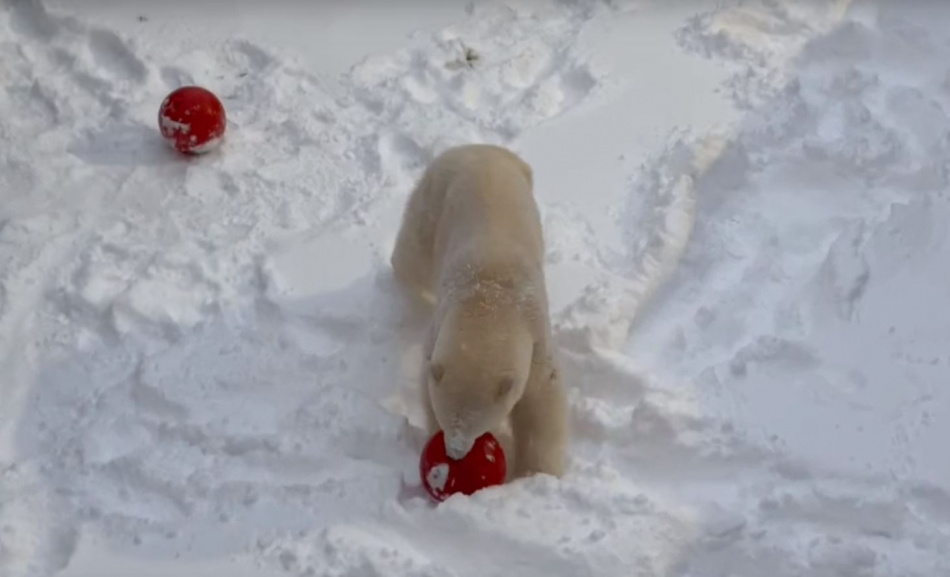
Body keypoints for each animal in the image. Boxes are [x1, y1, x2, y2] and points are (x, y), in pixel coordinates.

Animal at [390, 143, 568, 476]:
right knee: (413, 258)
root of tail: (479, 147)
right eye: (448, 419)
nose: (455, 452)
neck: (488, 302)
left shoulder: (535, 335)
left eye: (475, 423)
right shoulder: (439, 331)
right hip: (433, 200)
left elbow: (541, 401)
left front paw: (537, 471)